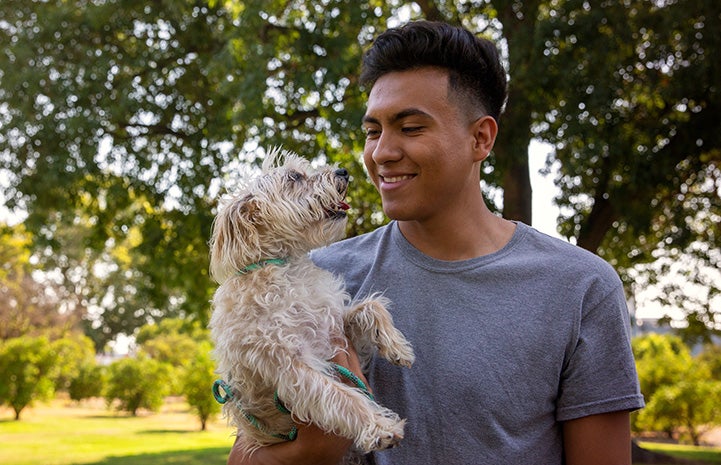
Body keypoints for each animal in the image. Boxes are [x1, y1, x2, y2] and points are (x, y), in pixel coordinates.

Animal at [208, 149, 414, 456]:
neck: (287, 265)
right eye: (294, 177)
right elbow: (341, 396)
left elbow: (372, 306)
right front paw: (379, 427)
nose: (343, 171)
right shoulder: (292, 366)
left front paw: (398, 346)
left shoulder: (337, 330)